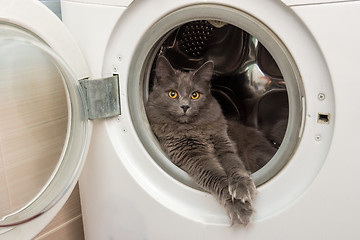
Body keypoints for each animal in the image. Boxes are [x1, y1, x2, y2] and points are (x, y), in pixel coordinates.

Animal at [145, 56, 272, 225]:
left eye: (195, 95)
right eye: (173, 94)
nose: (184, 106)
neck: (195, 129)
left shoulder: (223, 142)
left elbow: (235, 165)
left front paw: (242, 186)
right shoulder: (194, 156)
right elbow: (218, 179)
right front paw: (239, 208)